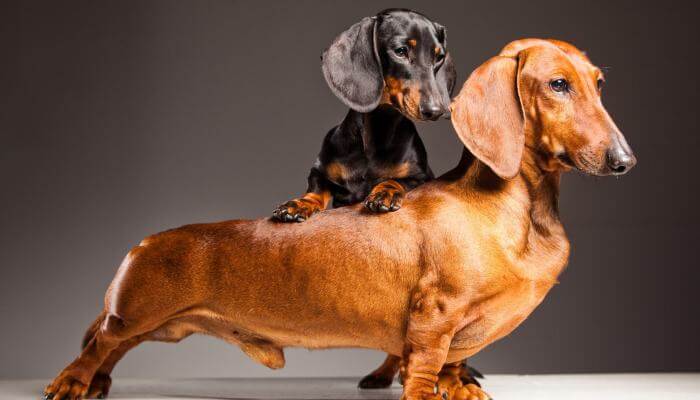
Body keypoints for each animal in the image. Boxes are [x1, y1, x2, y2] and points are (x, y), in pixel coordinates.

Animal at [42, 38, 636, 400]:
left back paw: (96, 383)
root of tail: (143, 242)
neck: (517, 213)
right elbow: (426, 363)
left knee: (110, 346)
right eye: (557, 84)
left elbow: (452, 362)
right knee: (99, 342)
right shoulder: (435, 316)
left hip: (159, 327)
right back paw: (72, 382)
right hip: (135, 314)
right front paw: (429, 387)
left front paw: (461, 385)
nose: (624, 161)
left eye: (599, 82)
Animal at [270, 8, 456, 222]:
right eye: (401, 51)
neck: (379, 130)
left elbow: (396, 180)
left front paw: (385, 191)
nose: (435, 110)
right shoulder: (319, 171)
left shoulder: (422, 177)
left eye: (439, 57)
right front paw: (300, 203)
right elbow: (316, 190)